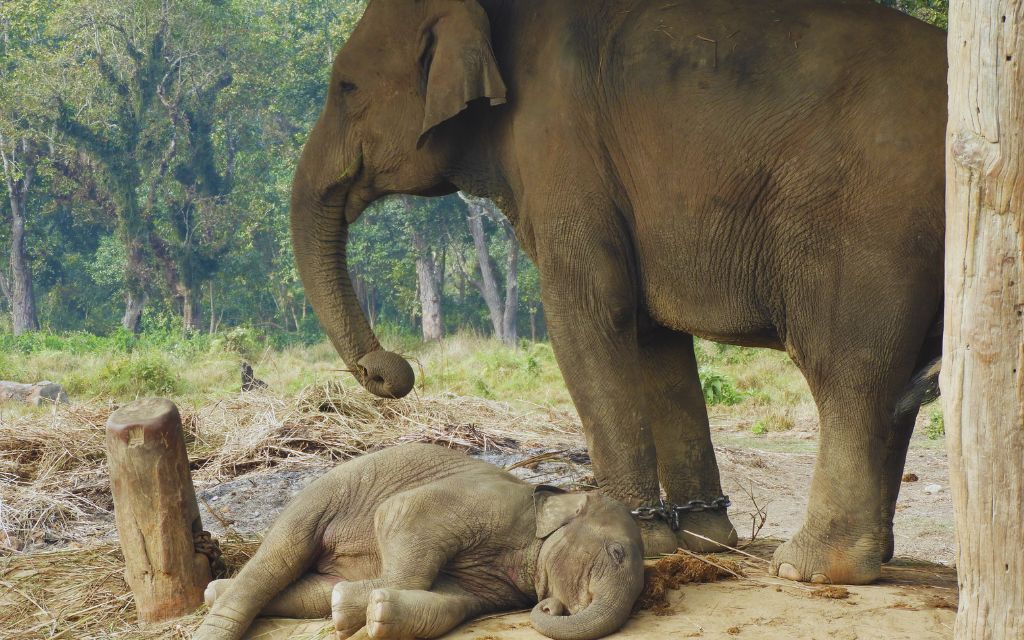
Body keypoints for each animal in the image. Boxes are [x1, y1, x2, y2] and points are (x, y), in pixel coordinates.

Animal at [193, 444, 645, 640]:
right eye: (617, 553)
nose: (551, 605)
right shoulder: (487, 502)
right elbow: (402, 513)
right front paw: (356, 608)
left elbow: (453, 601)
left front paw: (369, 613)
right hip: (324, 497)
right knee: (283, 555)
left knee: (312, 590)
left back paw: (216, 592)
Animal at [290, 0, 946, 585]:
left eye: (346, 87)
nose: (390, 372)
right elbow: (654, 336)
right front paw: (707, 539)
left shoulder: (558, 145)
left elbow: (590, 310)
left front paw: (642, 540)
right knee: (899, 386)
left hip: (867, 228)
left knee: (849, 372)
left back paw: (806, 568)